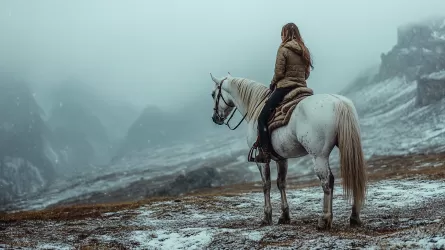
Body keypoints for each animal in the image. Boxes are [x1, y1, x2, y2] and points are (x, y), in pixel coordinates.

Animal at [210, 72, 366, 229]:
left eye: (213, 94)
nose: (215, 118)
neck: (256, 107)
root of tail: (339, 102)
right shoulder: (281, 159)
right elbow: (281, 183)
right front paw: (284, 216)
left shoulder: (262, 162)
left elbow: (266, 185)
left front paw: (267, 217)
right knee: (350, 176)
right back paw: (354, 217)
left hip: (319, 156)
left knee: (327, 181)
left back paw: (324, 219)